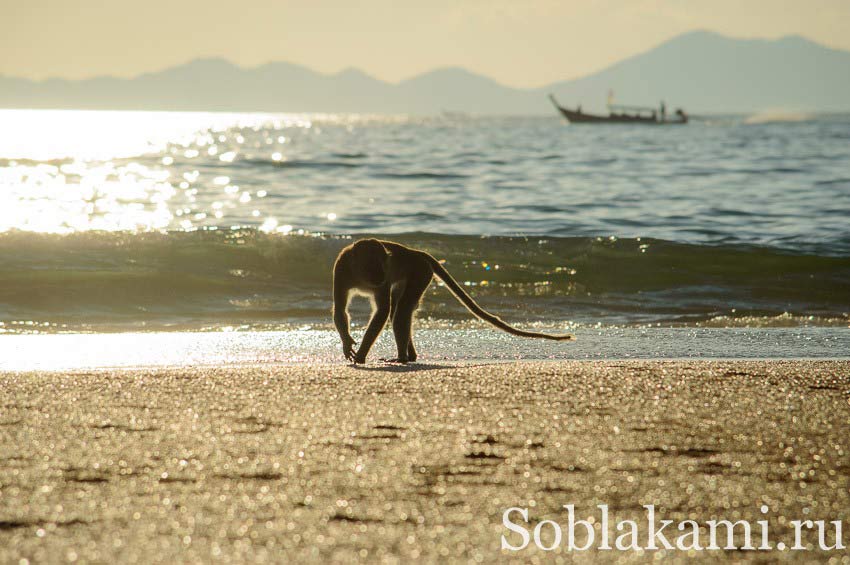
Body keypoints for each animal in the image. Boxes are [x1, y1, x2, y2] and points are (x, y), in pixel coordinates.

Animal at [332, 237, 568, 362]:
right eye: (372, 265)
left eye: (382, 265)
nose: (381, 275)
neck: (360, 275)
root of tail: (417, 253)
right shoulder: (341, 269)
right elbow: (341, 308)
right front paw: (347, 342)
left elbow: (381, 311)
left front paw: (360, 354)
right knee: (401, 311)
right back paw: (410, 355)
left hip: (420, 272)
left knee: (400, 312)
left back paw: (403, 358)